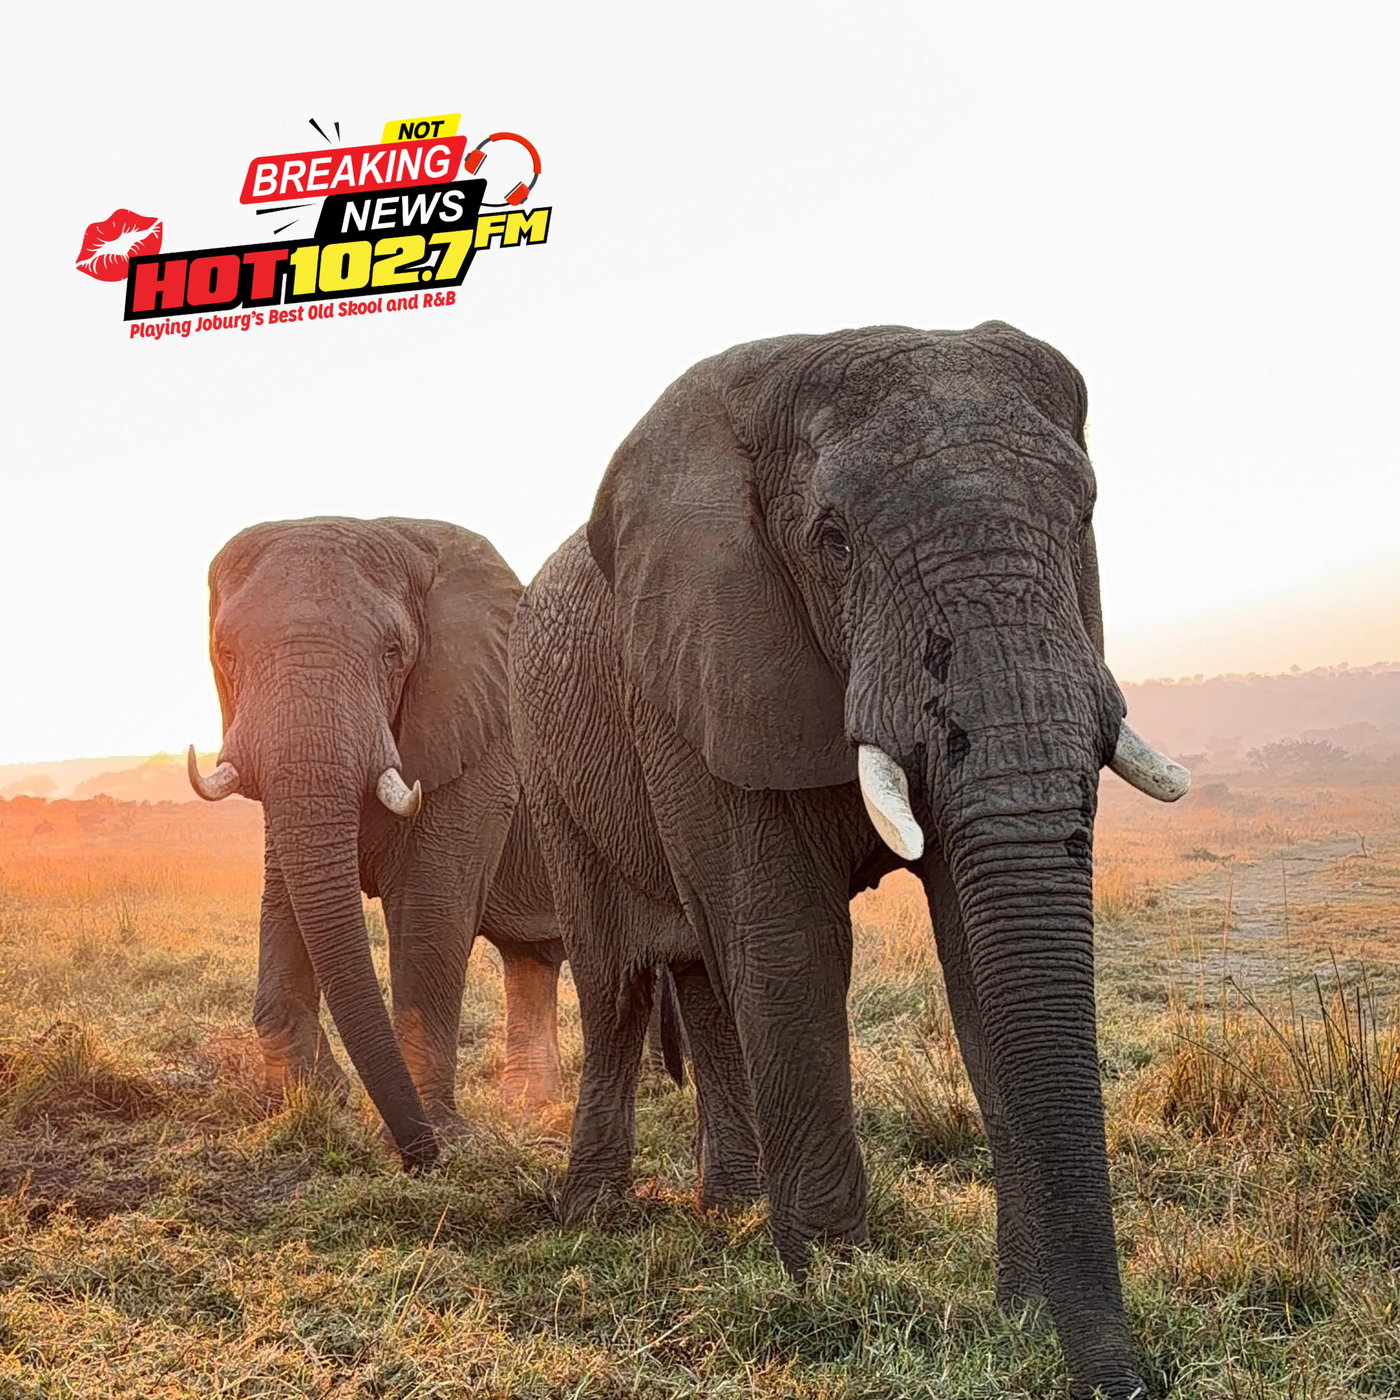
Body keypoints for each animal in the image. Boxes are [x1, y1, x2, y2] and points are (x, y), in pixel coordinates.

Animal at [188, 516, 564, 1170]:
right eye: (225, 654)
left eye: (393, 653)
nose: (424, 1157)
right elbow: (287, 897)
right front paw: (312, 1101)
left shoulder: (479, 742)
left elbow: (430, 909)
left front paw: (439, 1135)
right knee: (534, 960)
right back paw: (531, 1111)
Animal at [507, 323, 1187, 1400]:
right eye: (832, 541)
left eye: (1083, 514)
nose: (1124, 1385)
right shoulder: (705, 662)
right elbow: (790, 944)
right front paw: (842, 1298)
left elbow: (976, 958)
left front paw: (1018, 1313)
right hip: (544, 756)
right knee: (616, 978)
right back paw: (594, 1216)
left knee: (703, 974)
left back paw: (731, 1210)